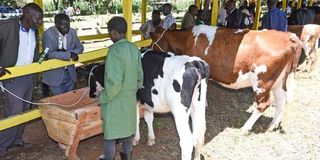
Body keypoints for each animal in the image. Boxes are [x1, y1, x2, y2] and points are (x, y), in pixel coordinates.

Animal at [150, 25, 302, 132]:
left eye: (153, 42)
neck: (186, 39)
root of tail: (287, 36)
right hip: (279, 79)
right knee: (282, 99)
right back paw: (272, 125)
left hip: (262, 81)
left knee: (263, 104)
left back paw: (245, 127)